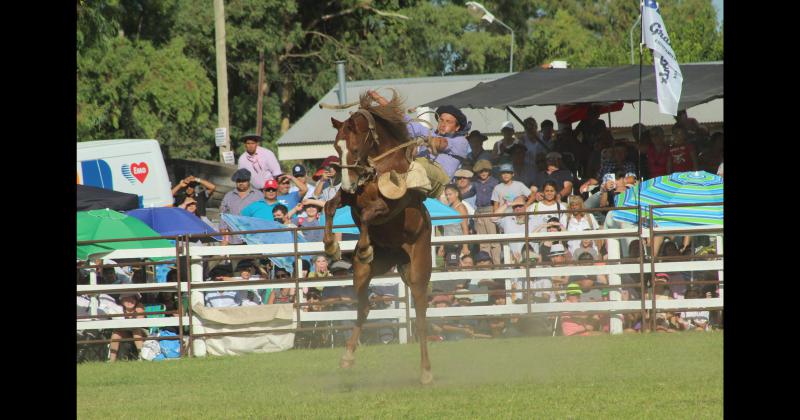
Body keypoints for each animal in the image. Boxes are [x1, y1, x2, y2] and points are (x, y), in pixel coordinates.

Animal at [320, 91, 432, 384]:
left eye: (355, 146)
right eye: (336, 147)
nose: (347, 182)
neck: (378, 165)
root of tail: (398, 256)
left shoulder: (386, 207)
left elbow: (369, 216)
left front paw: (363, 247)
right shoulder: (349, 198)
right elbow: (330, 206)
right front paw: (331, 246)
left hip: (419, 270)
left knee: (421, 315)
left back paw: (426, 372)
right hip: (364, 274)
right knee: (364, 307)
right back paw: (347, 357)